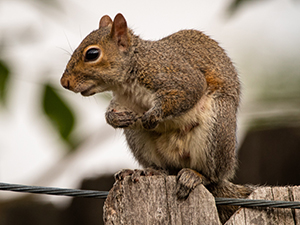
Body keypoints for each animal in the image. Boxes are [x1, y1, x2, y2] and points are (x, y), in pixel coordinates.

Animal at [60, 14, 253, 223]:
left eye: (92, 54)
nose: (64, 82)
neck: (128, 81)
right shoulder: (123, 101)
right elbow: (114, 111)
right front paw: (114, 118)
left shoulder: (175, 75)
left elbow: (189, 90)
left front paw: (152, 116)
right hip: (139, 140)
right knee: (166, 168)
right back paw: (148, 171)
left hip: (217, 128)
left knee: (213, 176)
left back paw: (195, 176)